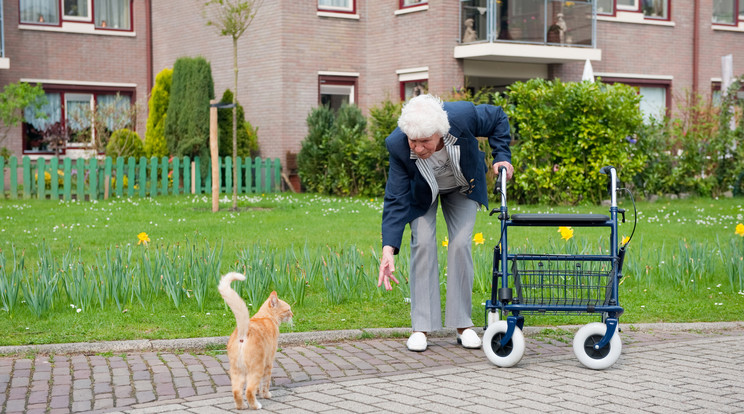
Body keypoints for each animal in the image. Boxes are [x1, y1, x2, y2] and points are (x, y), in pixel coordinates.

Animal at [217, 270, 292, 410]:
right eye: (288, 309)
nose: (293, 314)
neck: (265, 316)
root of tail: (243, 331)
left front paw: (259, 393)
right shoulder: (269, 361)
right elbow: (265, 383)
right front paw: (266, 395)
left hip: (237, 370)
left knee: (236, 391)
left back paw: (242, 406)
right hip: (257, 367)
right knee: (248, 391)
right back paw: (256, 405)